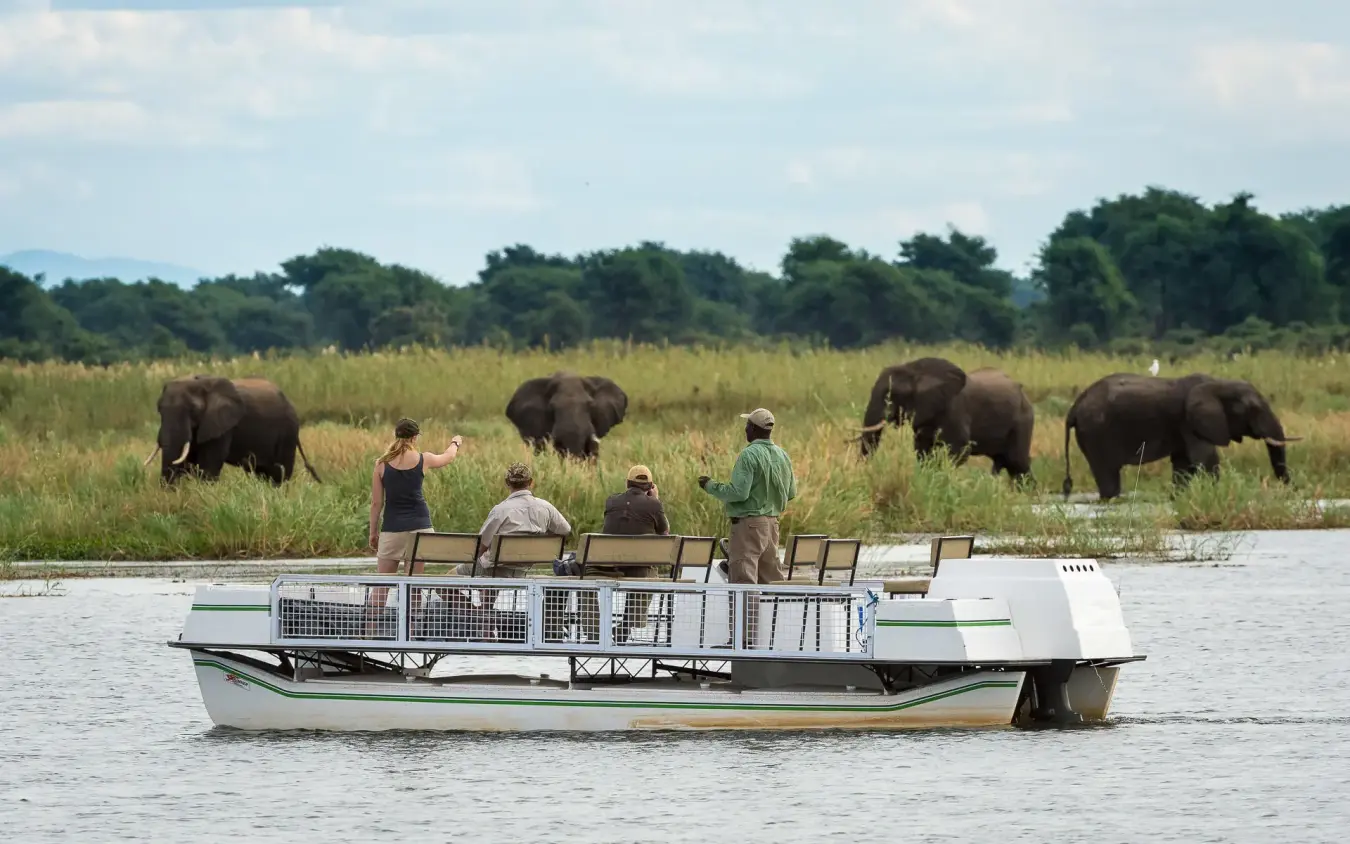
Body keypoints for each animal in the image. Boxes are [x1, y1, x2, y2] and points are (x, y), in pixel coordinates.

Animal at [143, 374, 321, 486]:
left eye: (193, 410)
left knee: (279, 473)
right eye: (159, 409)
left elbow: (208, 465)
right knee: (261, 472)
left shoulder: (221, 425)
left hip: (288, 432)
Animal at [856, 357, 1035, 482]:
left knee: (1017, 463)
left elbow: (960, 450)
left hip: (1023, 421)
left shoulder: (955, 410)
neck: (914, 371)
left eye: (890, 395)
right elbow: (922, 450)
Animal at [1060, 372, 1300, 501]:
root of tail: (1074, 407)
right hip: (1095, 431)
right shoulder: (1190, 421)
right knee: (1108, 474)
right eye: (1254, 409)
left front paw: (1179, 498)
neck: (1219, 383)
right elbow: (1205, 458)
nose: (1291, 490)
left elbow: (1183, 464)